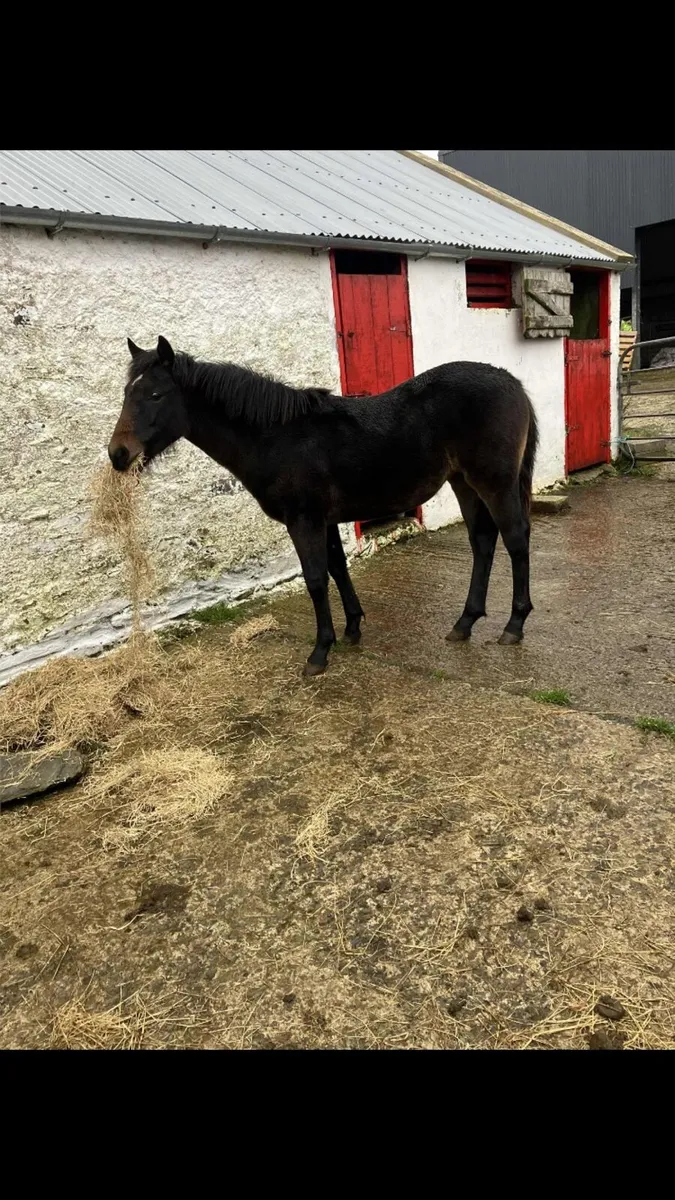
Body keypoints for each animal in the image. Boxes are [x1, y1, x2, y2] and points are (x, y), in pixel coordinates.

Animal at [108, 336, 538, 676]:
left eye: (156, 395)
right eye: (127, 393)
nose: (118, 454)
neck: (277, 436)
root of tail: (511, 381)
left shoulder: (304, 520)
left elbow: (315, 579)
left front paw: (319, 651)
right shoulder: (325, 520)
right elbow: (337, 567)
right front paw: (352, 629)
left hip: (494, 483)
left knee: (515, 539)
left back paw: (514, 625)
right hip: (463, 482)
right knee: (482, 541)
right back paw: (465, 622)